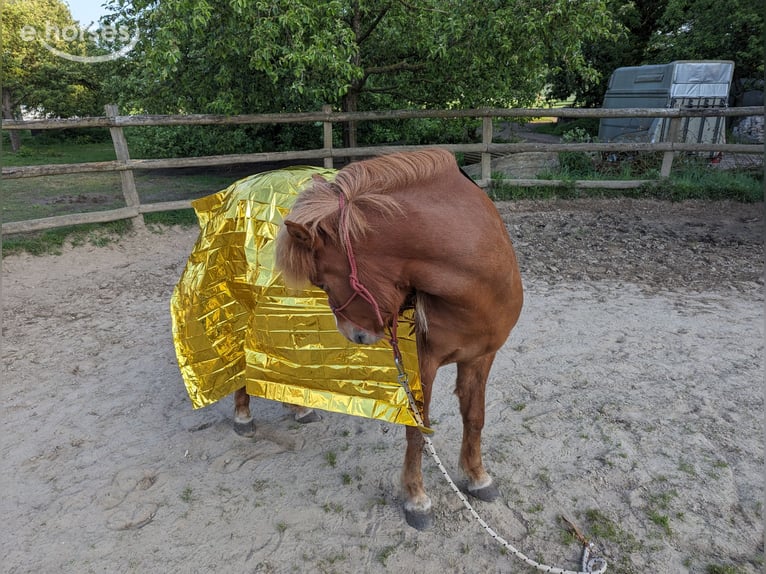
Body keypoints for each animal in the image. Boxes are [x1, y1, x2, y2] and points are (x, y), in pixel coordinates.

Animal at [275, 148, 524, 529]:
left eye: (323, 282)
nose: (353, 334)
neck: (478, 291)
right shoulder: (422, 366)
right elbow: (417, 430)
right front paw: (416, 499)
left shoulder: (480, 356)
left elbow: (475, 417)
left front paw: (477, 477)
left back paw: (298, 409)